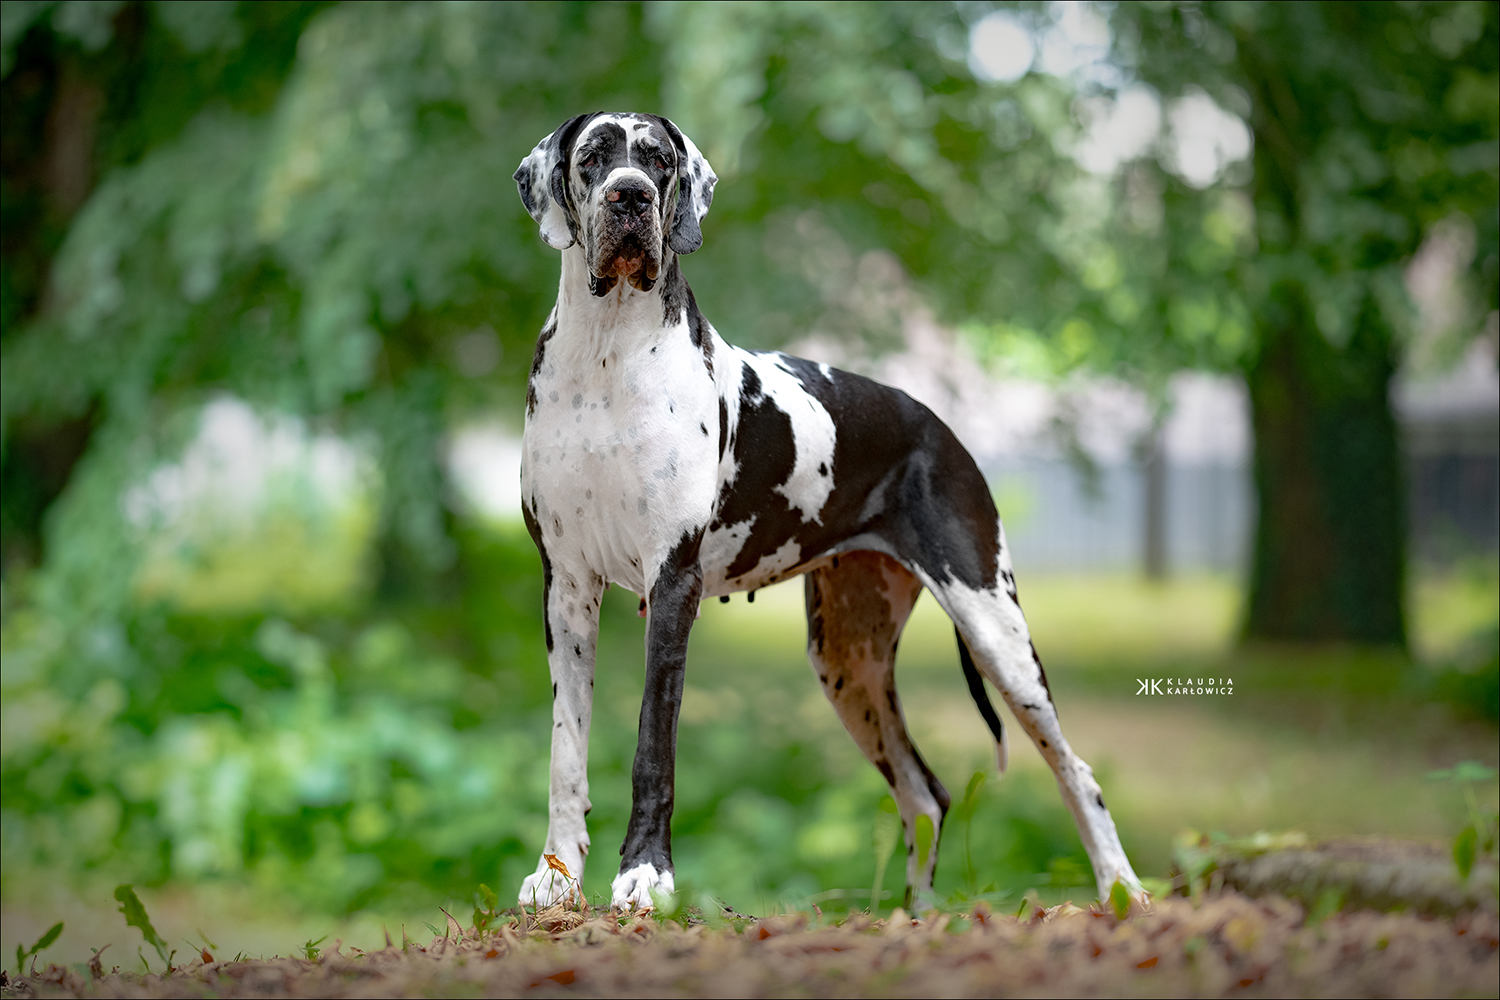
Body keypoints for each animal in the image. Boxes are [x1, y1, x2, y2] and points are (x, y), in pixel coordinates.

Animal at [512, 112, 1144, 911]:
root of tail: (939, 428)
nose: (631, 197)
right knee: (924, 793)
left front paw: (645, 876)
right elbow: (565, 750)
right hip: (849, 660)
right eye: (593, 158)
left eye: (658, 161)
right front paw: (555, 876)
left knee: (1075, 771)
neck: (607, 355)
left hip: (995, 629)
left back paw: (1122, 888)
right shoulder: (566, 587)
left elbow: (653, 747)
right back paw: (918, 916)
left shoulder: (672, 584)